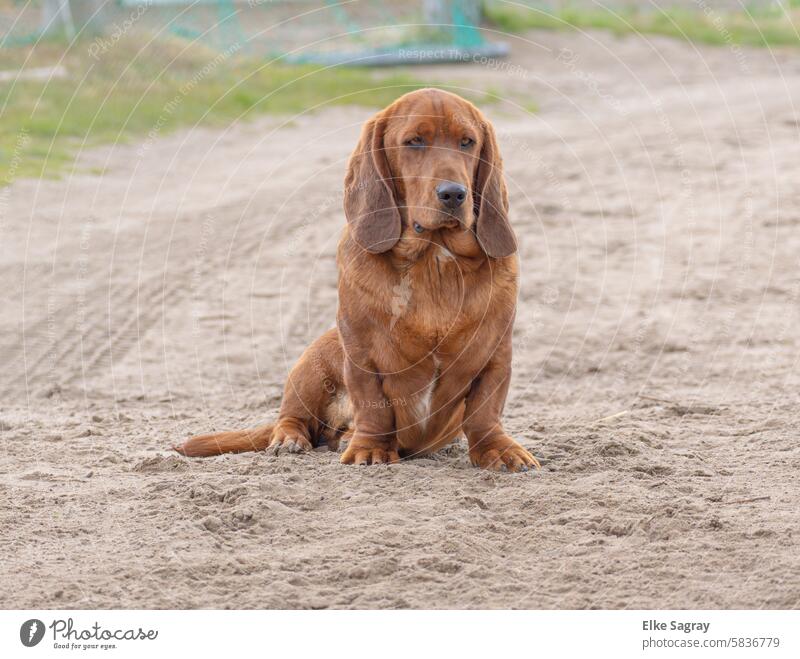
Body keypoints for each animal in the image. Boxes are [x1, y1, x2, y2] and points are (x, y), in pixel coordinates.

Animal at [174, 90, 536, 474]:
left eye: (467, 142)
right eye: (414, 141)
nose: (453, 194)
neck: (433, 261)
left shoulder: (496, 353)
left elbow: (485, 411)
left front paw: (498, 448)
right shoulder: (362, 351)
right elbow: (373, 406)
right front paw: (370, 448)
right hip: (313, 361)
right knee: (291, 418)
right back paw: (293, 439)